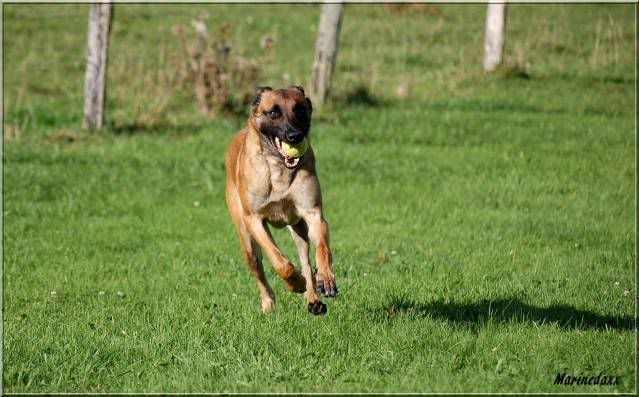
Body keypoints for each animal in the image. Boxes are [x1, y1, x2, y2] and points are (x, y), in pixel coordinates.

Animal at [224, 85, 338, 314]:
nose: (294, 136)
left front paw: (325, 277)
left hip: (299, 229)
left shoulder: (313, 213)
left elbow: (322, 248)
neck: (279, 169)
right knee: (258, 269)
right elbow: (279, 261)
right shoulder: (254, 220)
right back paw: (269, 302)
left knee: (305, 259)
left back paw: (313, 298)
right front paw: (295, 282)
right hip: (246, 240)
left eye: (300, 110)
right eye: (273, 112)